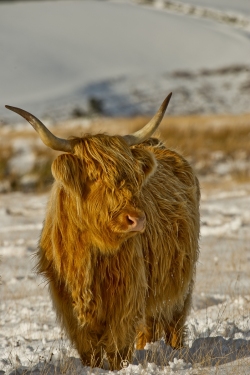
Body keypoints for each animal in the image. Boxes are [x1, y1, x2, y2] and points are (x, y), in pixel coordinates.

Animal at [5, 93, 200, 370]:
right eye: (94, 176)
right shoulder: (67, 303)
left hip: (183, 281)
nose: (136, 219)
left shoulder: (127, 296)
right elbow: (89, 350)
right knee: (151, 325)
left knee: (172, 320)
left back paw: (174, 350)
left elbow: (118, 346)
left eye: (132, 177)